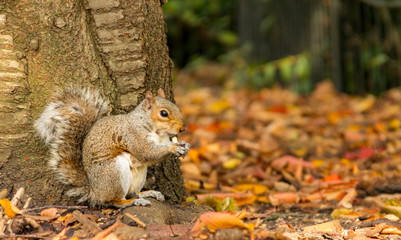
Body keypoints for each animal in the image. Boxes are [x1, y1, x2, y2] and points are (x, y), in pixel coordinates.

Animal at [35, 87, 190, 207]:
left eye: (176, 107)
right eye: (164, 113)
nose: (182, 129)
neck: (156, 131)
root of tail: (94, 191)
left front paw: (184, 145)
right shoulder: (133, 135)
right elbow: (146, 153)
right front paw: (174, 148)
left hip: (139, 175)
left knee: (133, 192)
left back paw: (147, 193)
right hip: (114, 172)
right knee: (114, 201)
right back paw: (131, 202)